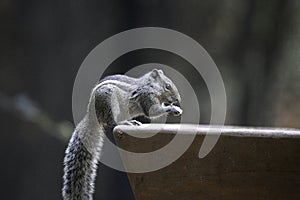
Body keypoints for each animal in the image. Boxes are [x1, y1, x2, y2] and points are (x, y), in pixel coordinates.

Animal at [61, 68, 182, 198]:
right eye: (168, 86)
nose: (178, 100)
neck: (150, 86)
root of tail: (91, 116)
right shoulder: (147, 97)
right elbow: (154, 111)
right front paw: (173, 109)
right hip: (110, 103)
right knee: (111, 122)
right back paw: (125, 123)